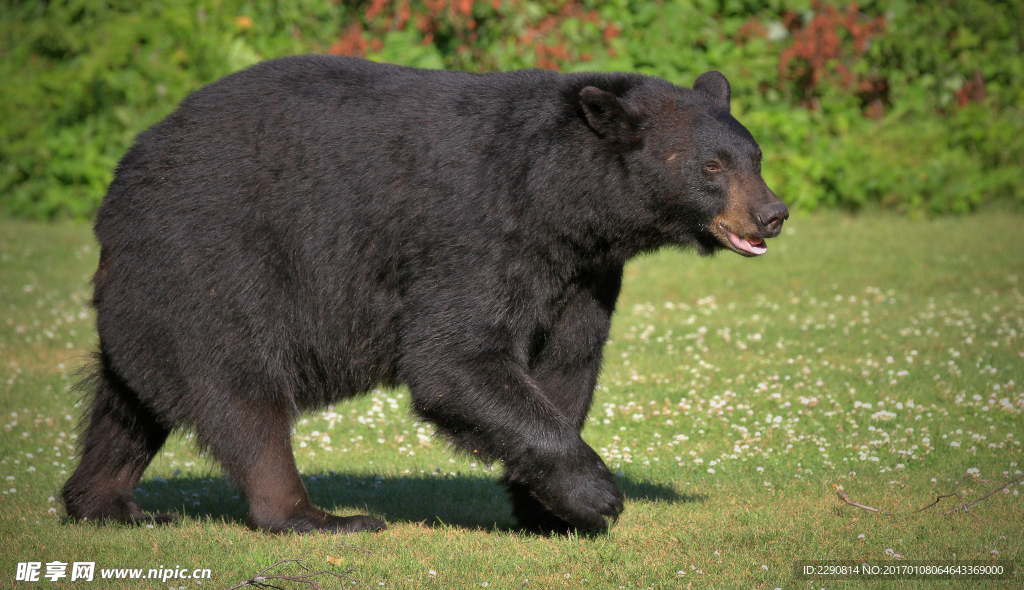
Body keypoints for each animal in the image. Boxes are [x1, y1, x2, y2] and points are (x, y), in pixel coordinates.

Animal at [62, 55, 788, 535]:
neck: (562, 200)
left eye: (753, 157)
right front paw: (597, 494)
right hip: (213, 265)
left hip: (150, 302)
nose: (773, 214)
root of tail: (118, 187)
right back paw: (314, 516)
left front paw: (545, 507)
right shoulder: (478, 232)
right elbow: (457, 358)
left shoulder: (582, 272)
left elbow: (567, 366)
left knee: (128, 402)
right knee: (243, 396)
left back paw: (105, 502)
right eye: (712, 166)